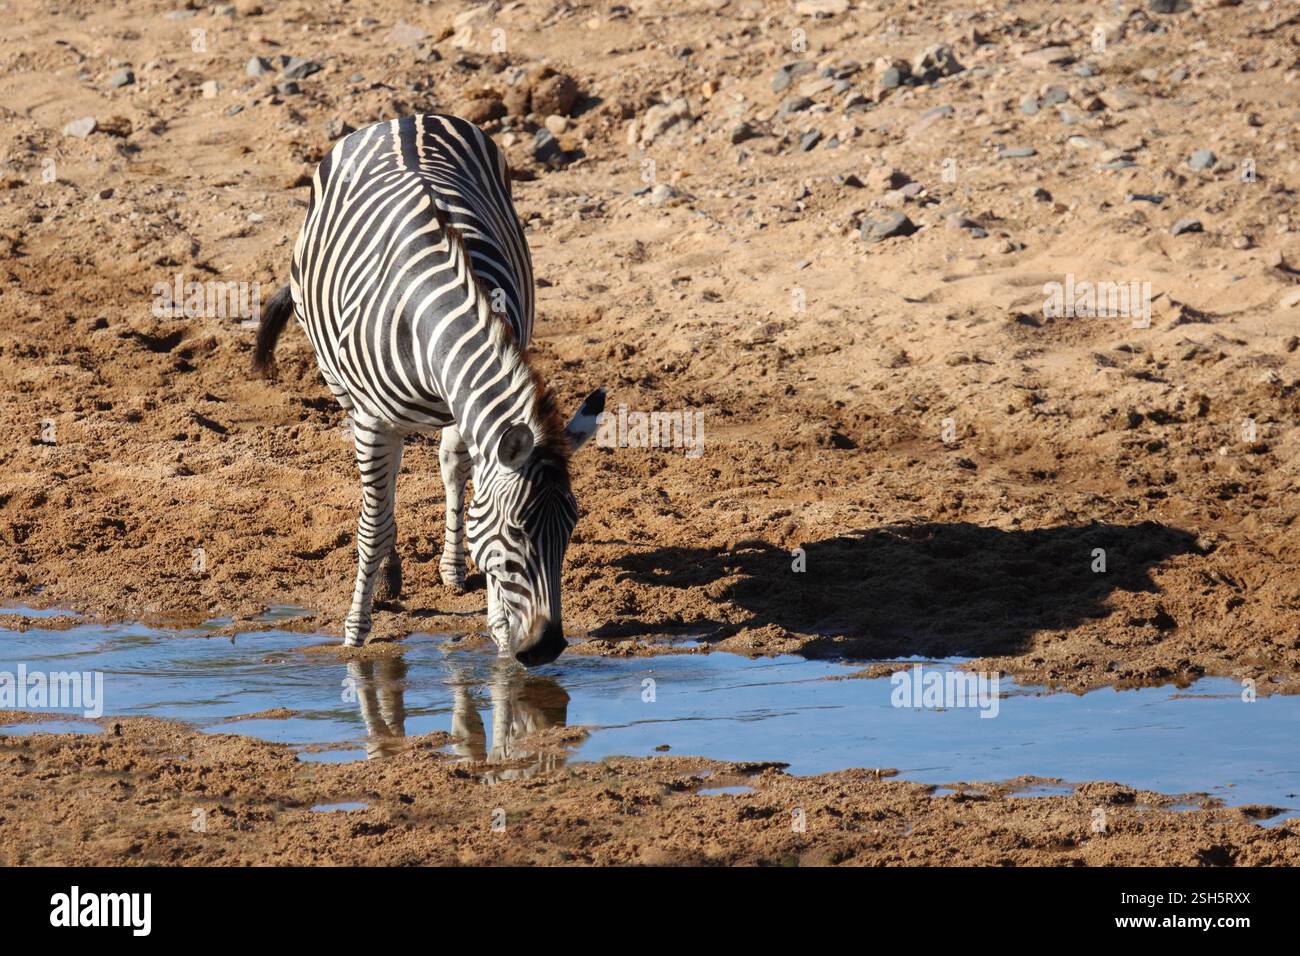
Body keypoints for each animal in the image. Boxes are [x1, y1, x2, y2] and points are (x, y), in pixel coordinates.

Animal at [253, 114, 604, 667]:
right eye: (516, 530)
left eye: (571, 528)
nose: (546, 648)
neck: (429, 308)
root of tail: (405, 118)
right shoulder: (373, 421)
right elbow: (372, 527)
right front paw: (355, 636)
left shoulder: (471, 402)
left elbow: (470, 489)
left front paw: (498, 628)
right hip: (340, 384)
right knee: (377, 502)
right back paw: (389, 575)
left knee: (449, 468)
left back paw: (451, 568)